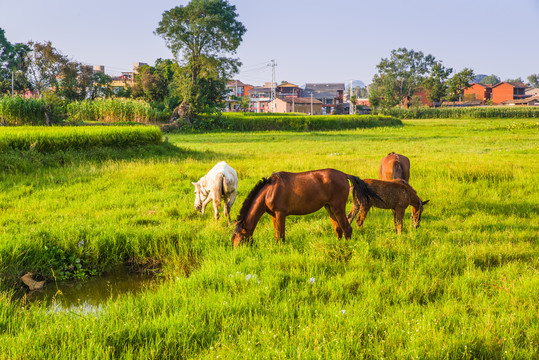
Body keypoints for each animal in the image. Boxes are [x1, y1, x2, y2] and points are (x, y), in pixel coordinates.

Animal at [231, 169, 380, 248]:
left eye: (239, 238)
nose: (236, 252)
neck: (269, 190)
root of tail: (344, 175)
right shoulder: (273, 215)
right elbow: (277, 235)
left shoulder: (280, 214)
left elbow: (281, 235)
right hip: (329, 208)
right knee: (338, 229)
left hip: (337, 208)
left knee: (347, 229)